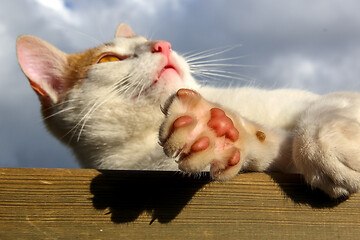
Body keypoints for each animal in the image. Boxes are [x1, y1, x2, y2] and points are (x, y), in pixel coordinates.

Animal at [16, 23, 360, 199]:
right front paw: (217, 135)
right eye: (109, 60)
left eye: (148, 40)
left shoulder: (323, 100)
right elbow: (273, 148)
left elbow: (323, 110)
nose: (163, 44)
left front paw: (323, 146)